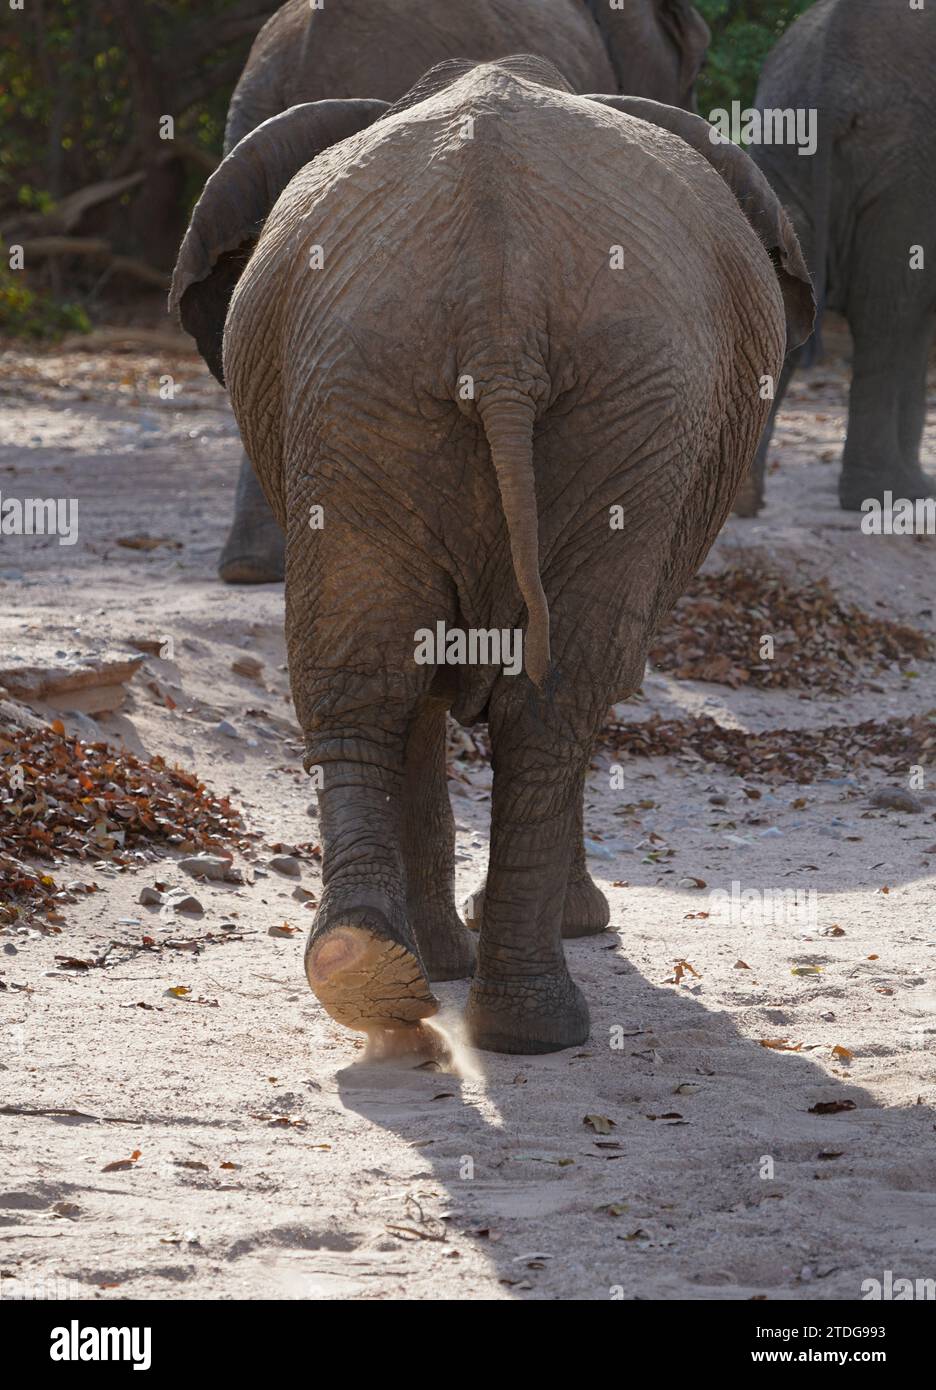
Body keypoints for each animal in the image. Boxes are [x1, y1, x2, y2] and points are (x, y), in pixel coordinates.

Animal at [739, 0, 934, 517]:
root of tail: (831, 77)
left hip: (781, 146)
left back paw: (741, 501)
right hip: (906, 168)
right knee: (887, 317)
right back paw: (886, 496)